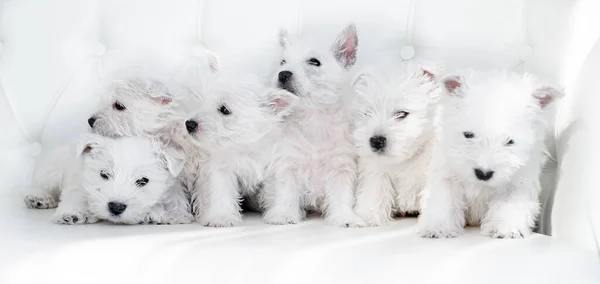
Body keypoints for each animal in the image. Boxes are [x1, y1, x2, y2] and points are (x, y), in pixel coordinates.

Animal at [183, 56, 296, 229]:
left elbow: (280, 190)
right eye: (203, 101)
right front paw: (221, 217)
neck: (245, 144)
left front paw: (281, 215)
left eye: (224, 110)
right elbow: (221, 192)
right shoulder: (221, 169)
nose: (189, 124)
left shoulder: (275, 166)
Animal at [260, 23, 364, 227]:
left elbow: (342, 195)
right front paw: (284, 215)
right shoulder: (288, 162)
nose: (282, 74)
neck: (312, 115)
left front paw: (345, 217)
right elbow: (286, 191)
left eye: (314, 62)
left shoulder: (341, 167)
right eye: (282, 62)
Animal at [352, 64, 440, 226]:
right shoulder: (376, 171)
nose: (376, 141)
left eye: (402, 113)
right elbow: (375, 191)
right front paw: (368, 215)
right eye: (367, 113)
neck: (407, 158)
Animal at [418, 70, 564, 239]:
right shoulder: (446, 175)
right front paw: (438, 227)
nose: (483, 173)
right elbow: (443, 201)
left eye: (509, 141)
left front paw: (507, 229)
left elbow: (510, 204)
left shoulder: (517, 182)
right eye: (468, 135)